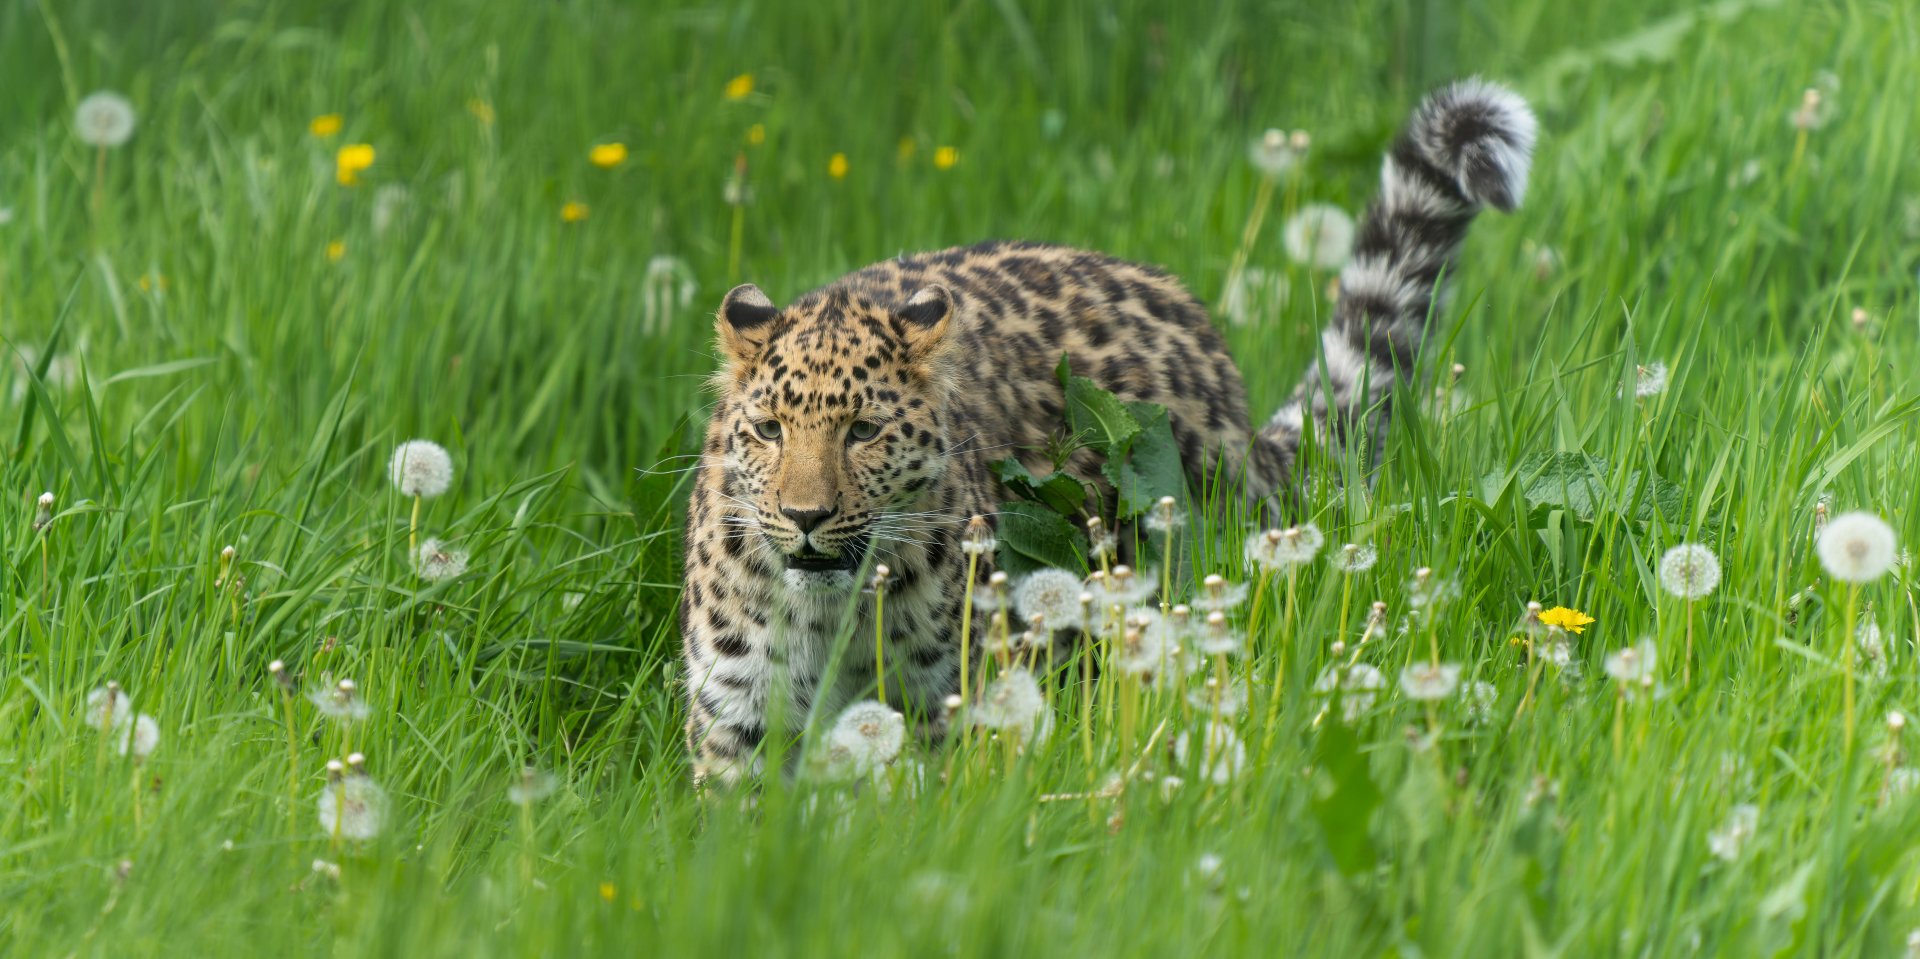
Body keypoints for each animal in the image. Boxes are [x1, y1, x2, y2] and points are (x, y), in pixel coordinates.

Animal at [678, 80, 1537, 784]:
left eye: (863, 430)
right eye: (768, 429)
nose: (806, 516)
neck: (837, 615)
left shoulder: (946, 706)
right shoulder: (739, 721)